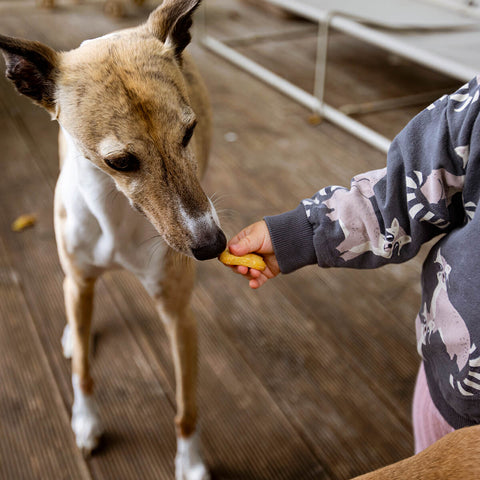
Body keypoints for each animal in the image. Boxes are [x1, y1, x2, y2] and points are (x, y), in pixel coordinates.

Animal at [0, 1, 226, 478]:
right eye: (120, 162)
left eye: (189, 132)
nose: (212, 246)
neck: (117, 213)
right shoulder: (82, 279)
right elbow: (84, 372)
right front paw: (86, 422)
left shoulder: (179, 316)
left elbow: (187, 406)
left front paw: (190, 461)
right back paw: (74, 333)